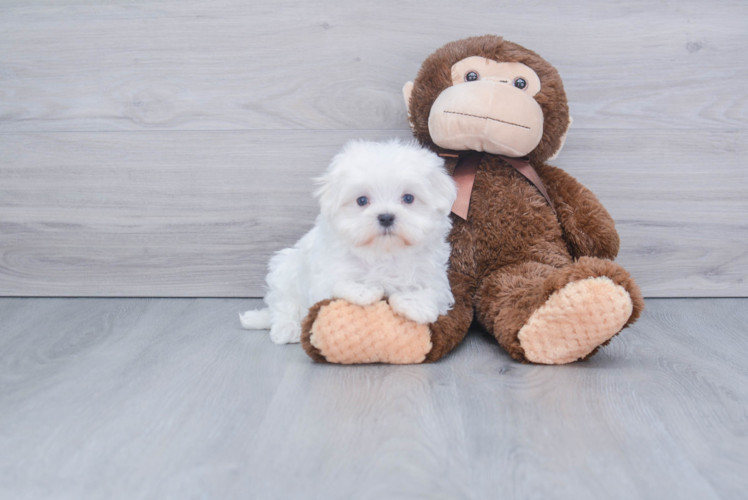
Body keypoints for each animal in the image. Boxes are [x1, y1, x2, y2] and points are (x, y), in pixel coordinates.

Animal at [243, 140, 458, 344]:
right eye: (362, 200)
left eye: (408, 198)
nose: (386, 217)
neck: (383, 252)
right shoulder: (326, 272)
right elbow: (338, 281)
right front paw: (363, 290)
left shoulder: (434, 274)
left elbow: (432, 289)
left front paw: (414, 304)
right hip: (286, 271)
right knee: (284, 304)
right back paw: (287, 328)